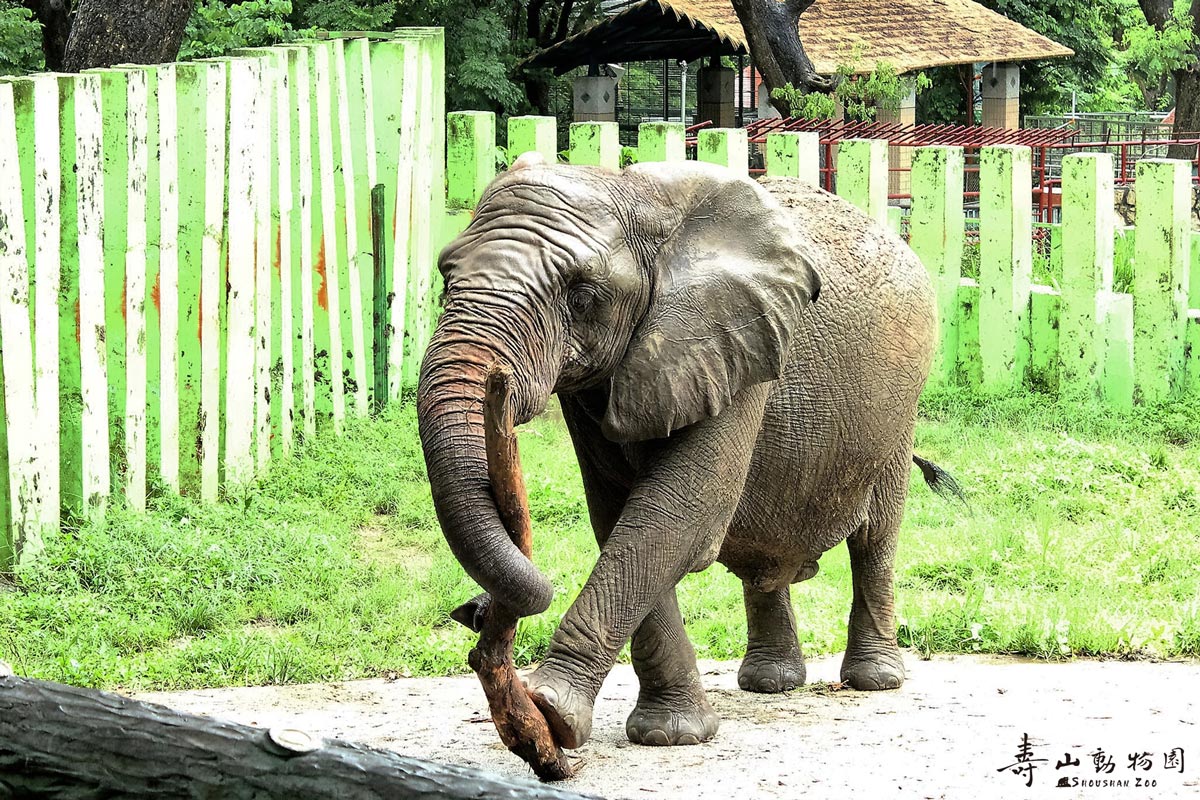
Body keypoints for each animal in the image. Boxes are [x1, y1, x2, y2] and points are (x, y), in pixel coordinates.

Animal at [417, 153, 960, 753]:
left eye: (582, 297)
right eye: (447, 275)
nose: (472, 610)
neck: (632, 192)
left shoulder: (733, 345)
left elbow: (674, 515)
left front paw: (552, 712)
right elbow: (621, 517)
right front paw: (669, 735)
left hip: (900, 407)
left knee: (876, 536)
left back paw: (874, 679)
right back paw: (771, 683)